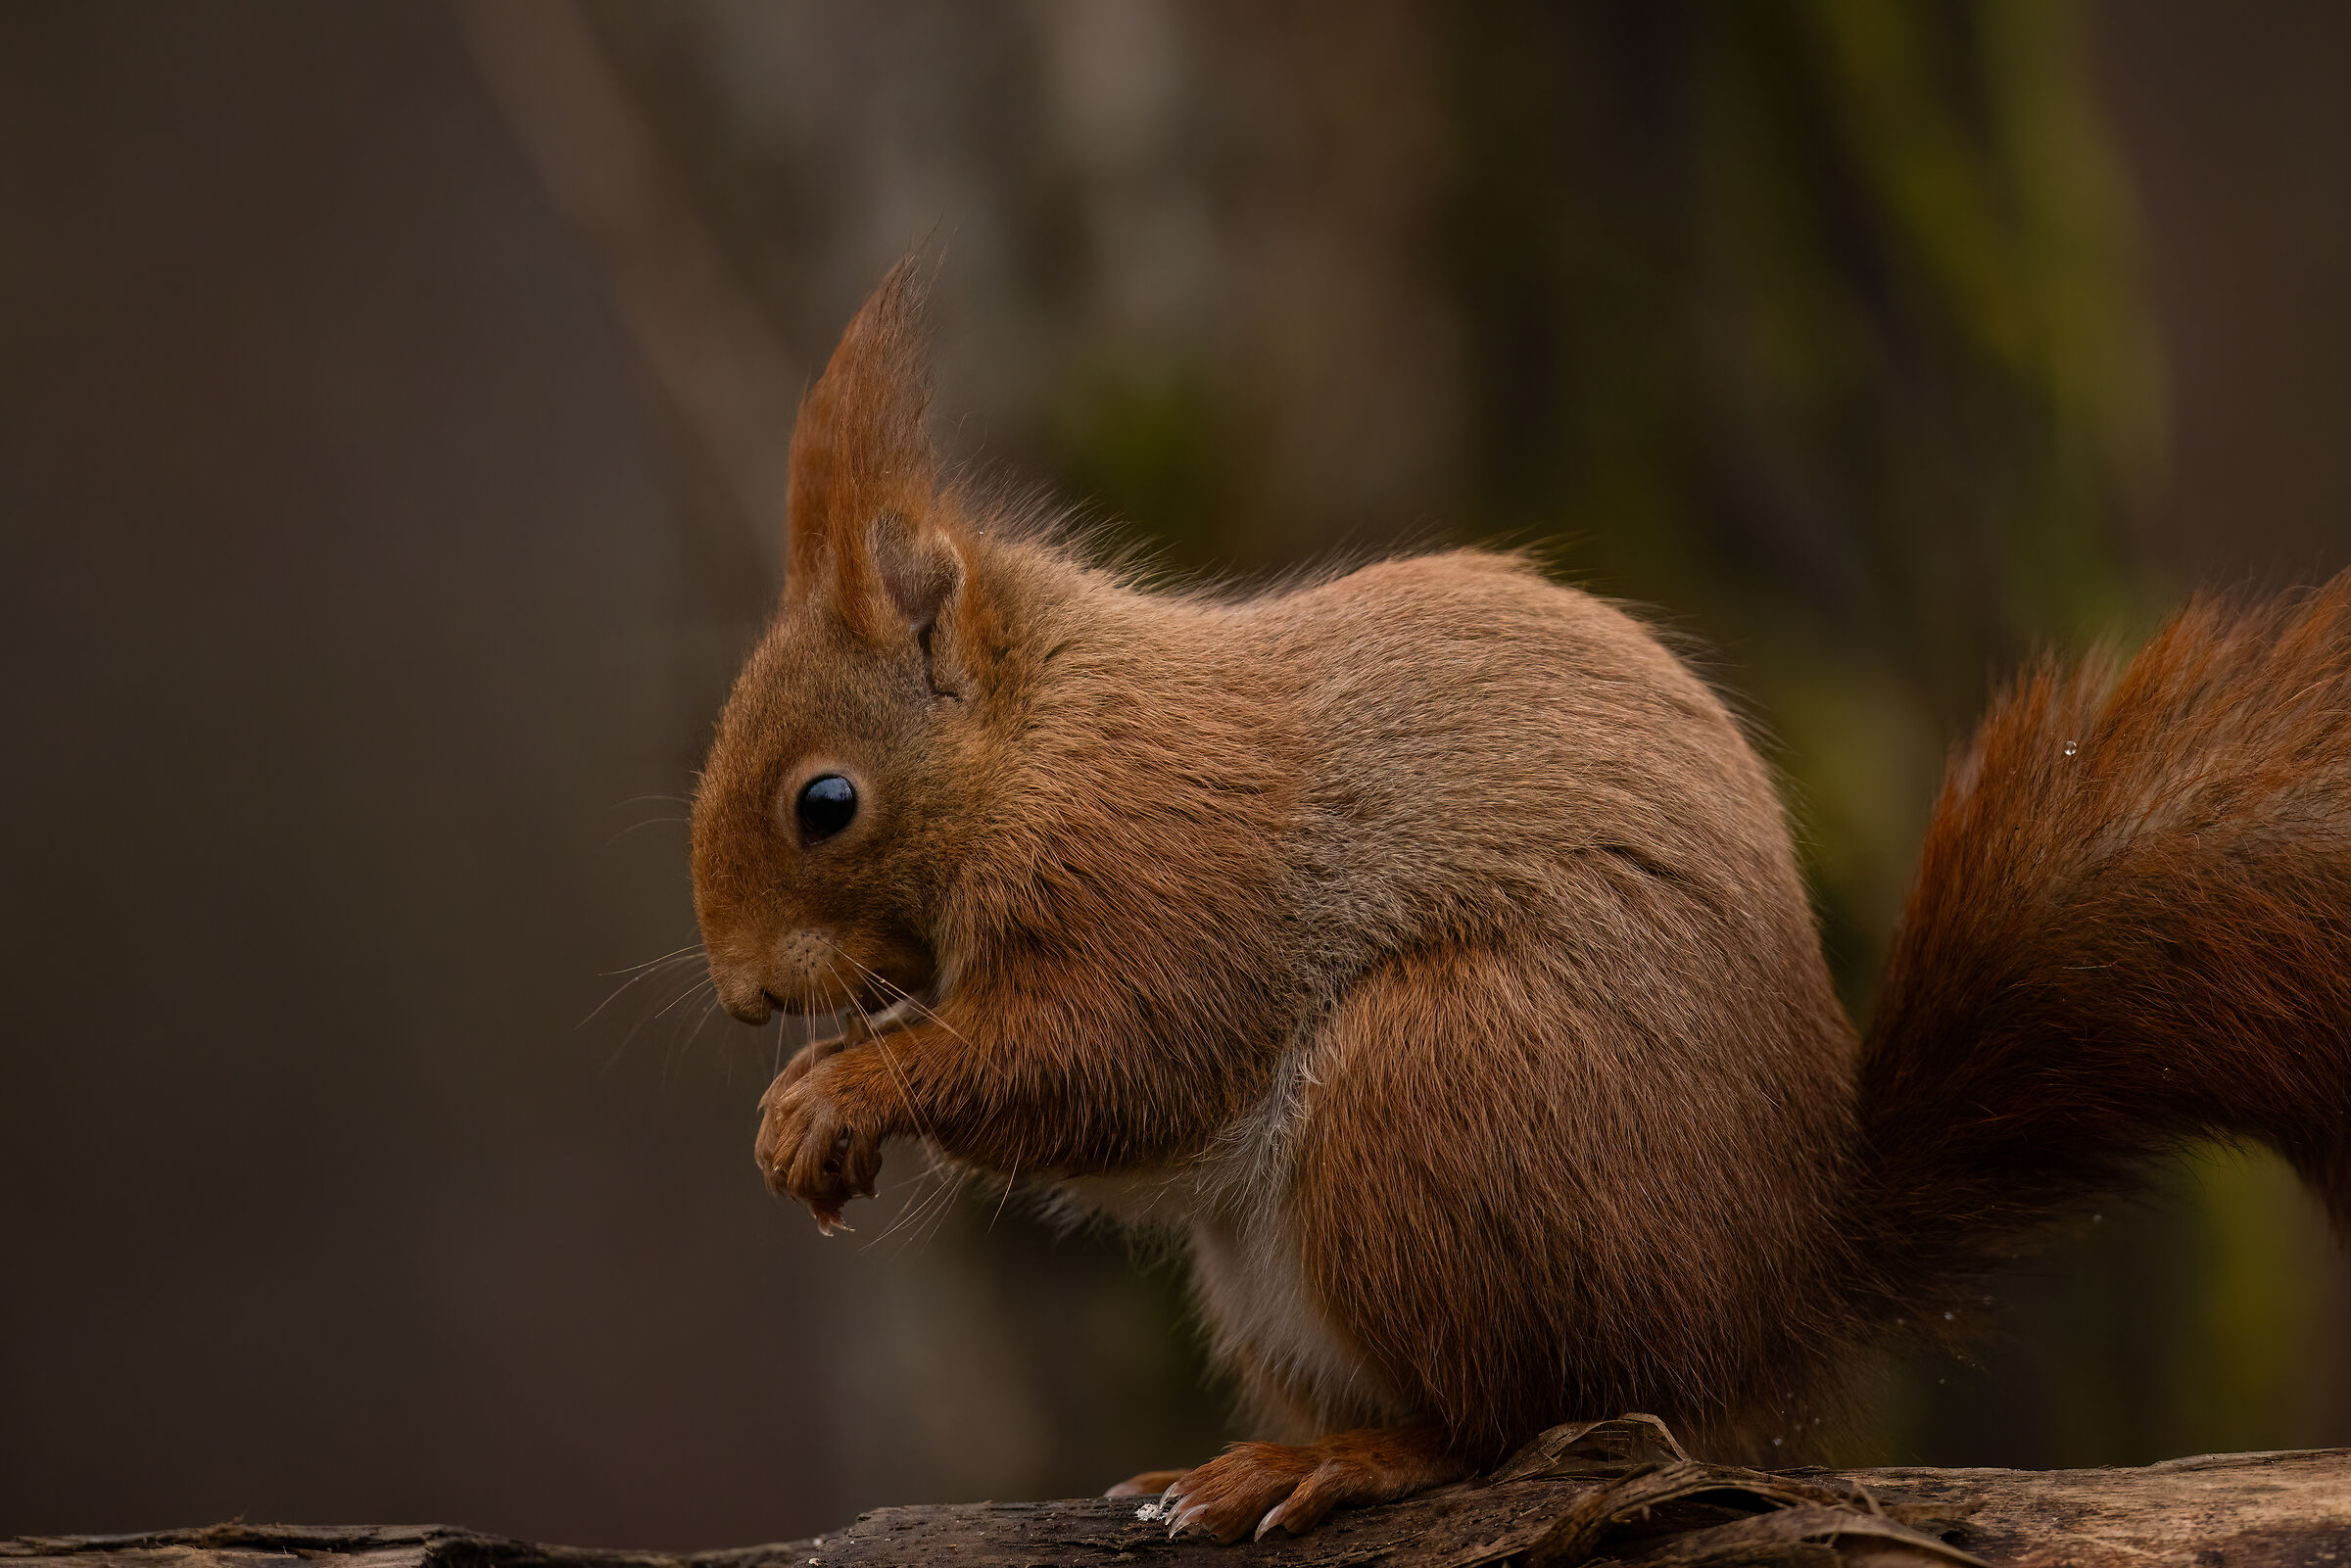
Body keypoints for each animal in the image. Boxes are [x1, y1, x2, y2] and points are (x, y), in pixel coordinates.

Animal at [689, 263, 2351, 1544]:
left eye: (825, 802)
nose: (740, 991)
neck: (1042, 740)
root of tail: (1765, 1284)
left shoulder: (1156, 870)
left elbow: (1107, 1058)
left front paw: (844, 1088)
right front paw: (802, 1097)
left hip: (1437, 1098)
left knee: (1499, 1428)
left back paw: (1334, 1465)